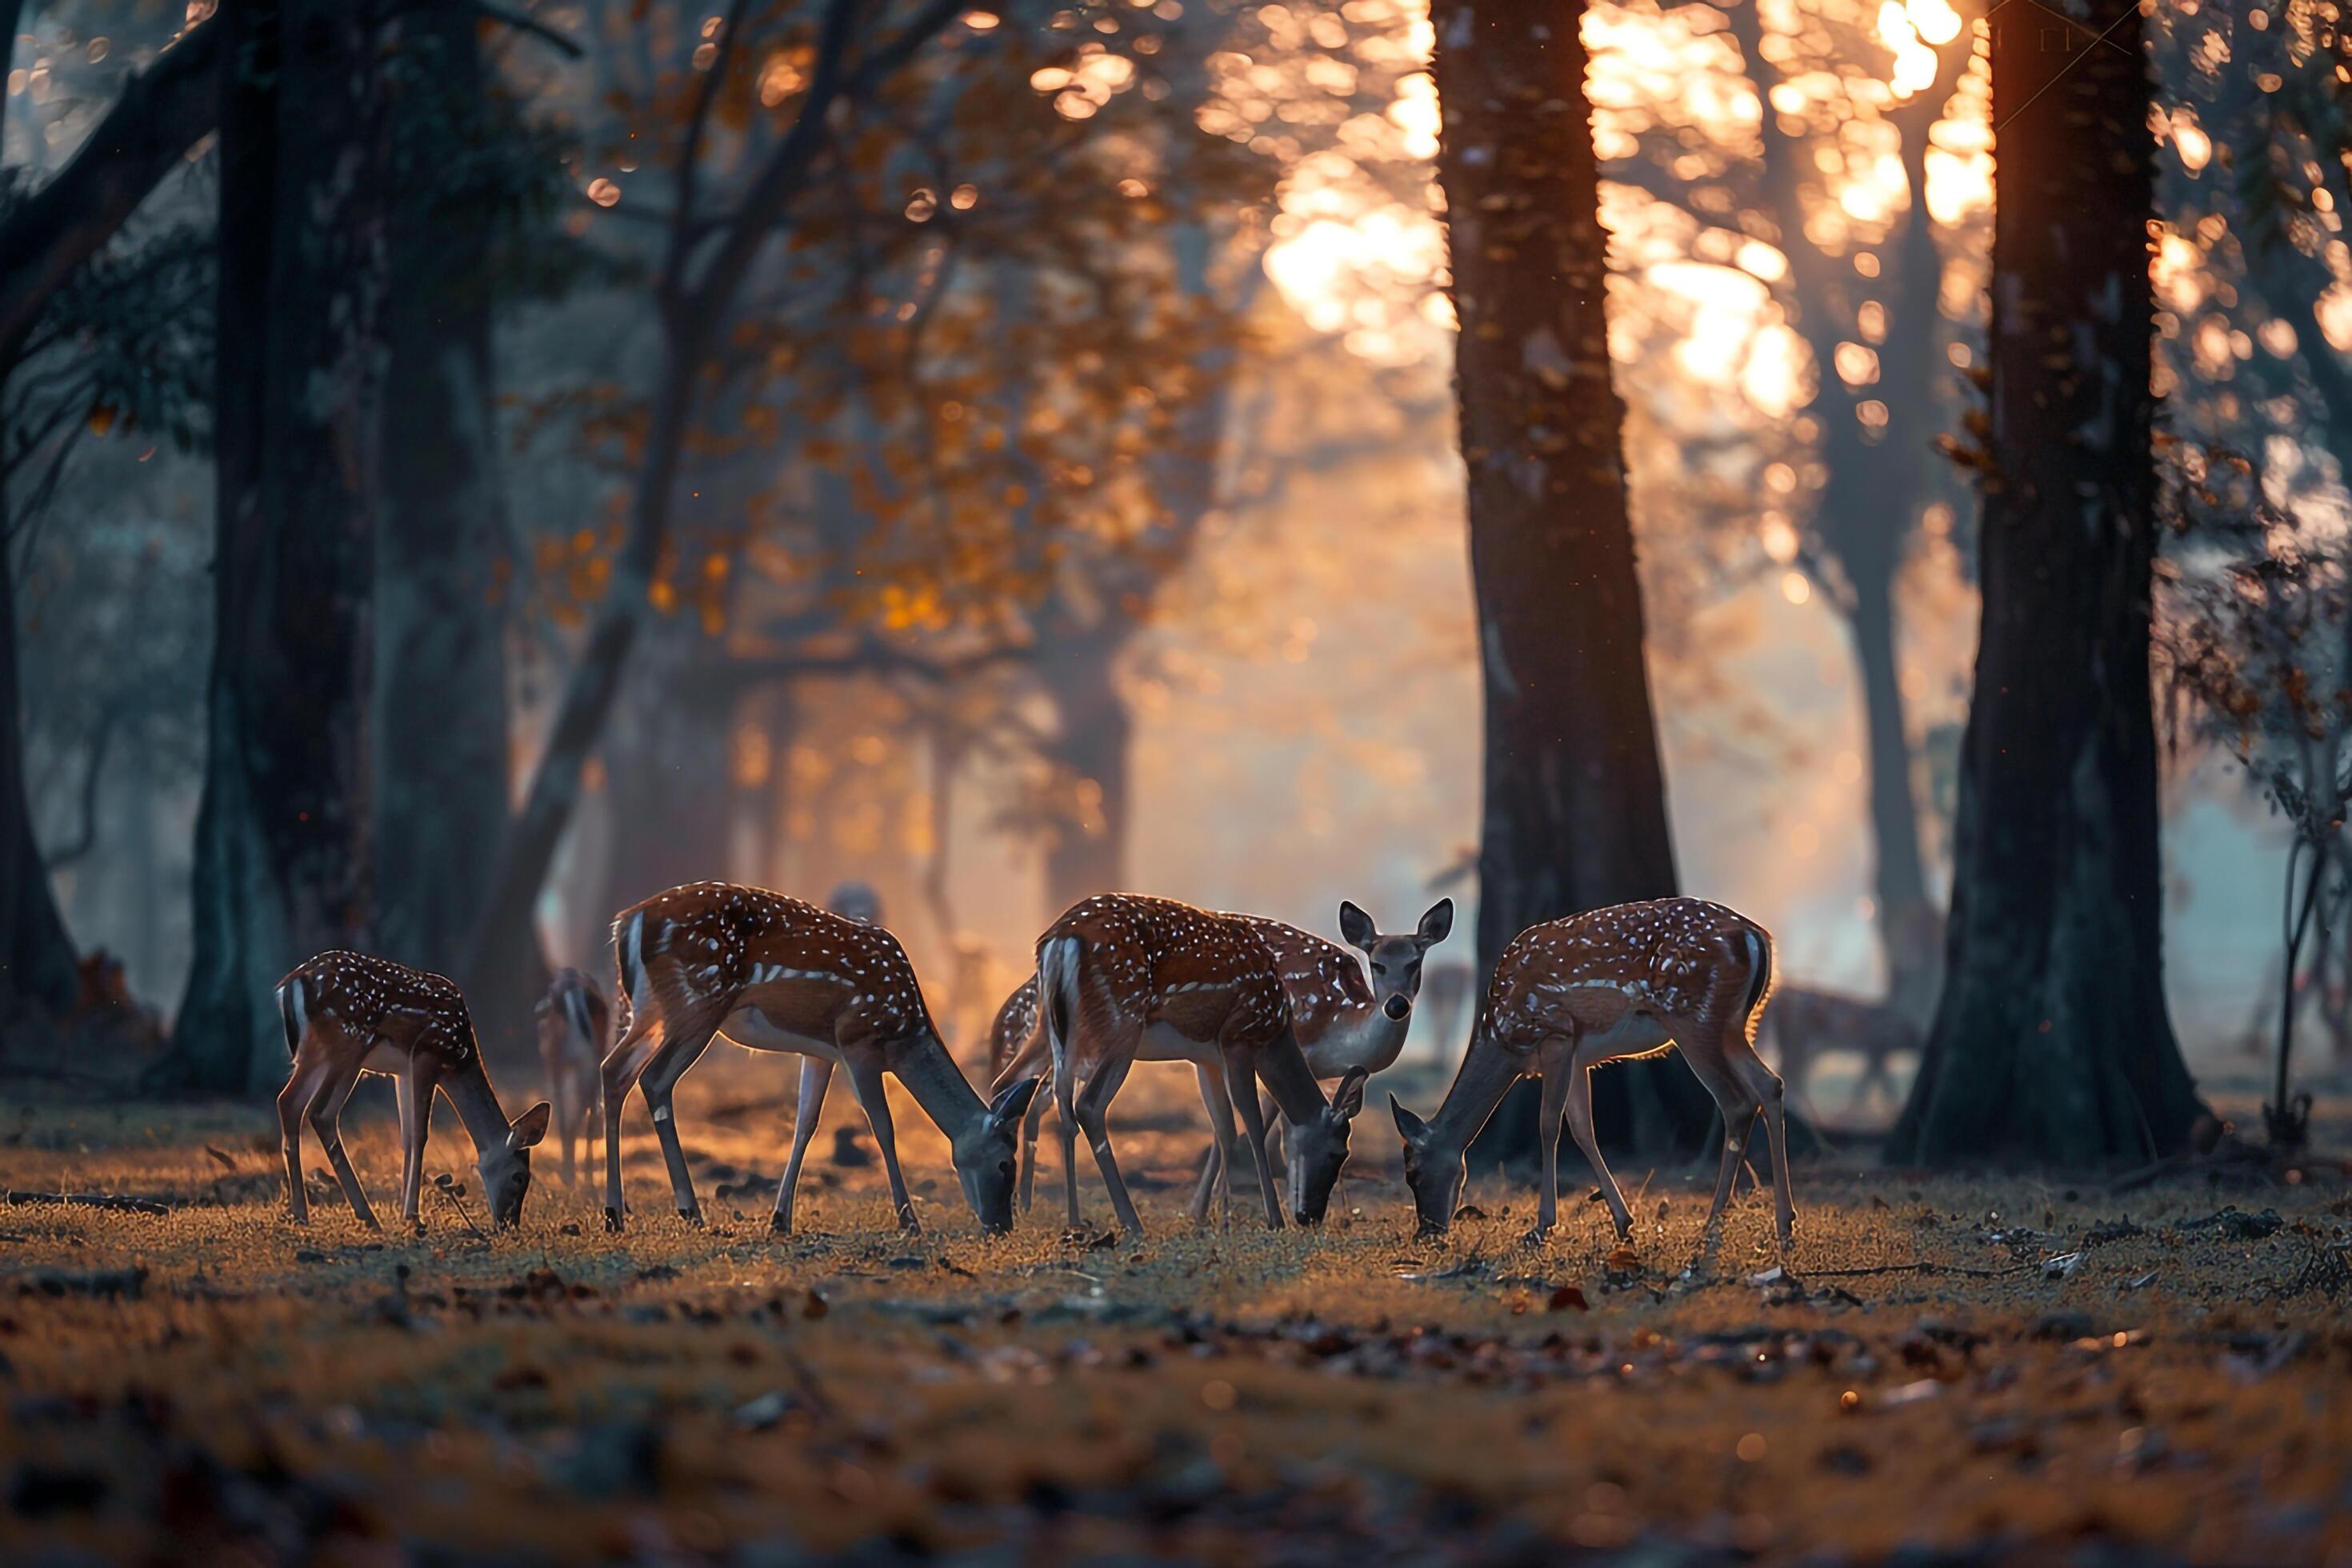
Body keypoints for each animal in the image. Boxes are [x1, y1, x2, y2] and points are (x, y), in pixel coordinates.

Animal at [274, 950, 550, 1231]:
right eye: (519, 1176)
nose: (509, 1224)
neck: (459, 1059)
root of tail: (295, 979)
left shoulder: (403, 1072)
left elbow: (406, 1137)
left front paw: (404, 1213)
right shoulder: (426, 1056)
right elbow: (420, 1135)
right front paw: (412, 1215)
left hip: (315, 1053)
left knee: (290, 1102)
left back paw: (301, 1212)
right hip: (348, 1043)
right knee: (320, 1112)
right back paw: (366, 1215)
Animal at [531, 968, 606, 1189]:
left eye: (549, 989)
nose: (539, 1010)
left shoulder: (555, 1066)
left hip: (560, 1060)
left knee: (570, 1116)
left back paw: (570, 1176)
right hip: (594, 1060)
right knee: (591, 1111)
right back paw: (587, 1181)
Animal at [602, 883, 1044, 1241]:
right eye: (1005, 1163)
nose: (1001, 1227)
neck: (904, 1033)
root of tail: (627, 923)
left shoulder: (819, 1051)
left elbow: (806, 1123)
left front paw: (780, 1220)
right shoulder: (856, 1039)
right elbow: (883, 1126)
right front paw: (909, 1221)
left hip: (650, 1009)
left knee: (614, 1070)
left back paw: (615, 1213)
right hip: (700, 999)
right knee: (655, 1079)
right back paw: (688, 1210)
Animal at [1382, 902, 1787, 1260]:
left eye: (1413, 1173)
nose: (1427, 1231)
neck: (1503, 1038)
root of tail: (1757, 936)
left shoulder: (1556, 1033)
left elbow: (1549, 1125)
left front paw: (1540, 1227)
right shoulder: (1579, 1054)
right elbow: (1581, 1128)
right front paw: (1624, 1223)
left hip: (1694, 1018)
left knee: (1737, 1102)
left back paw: (1714, 1222)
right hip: (1732, 1025)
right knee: (1771, 1084)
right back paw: (1785, 1223)